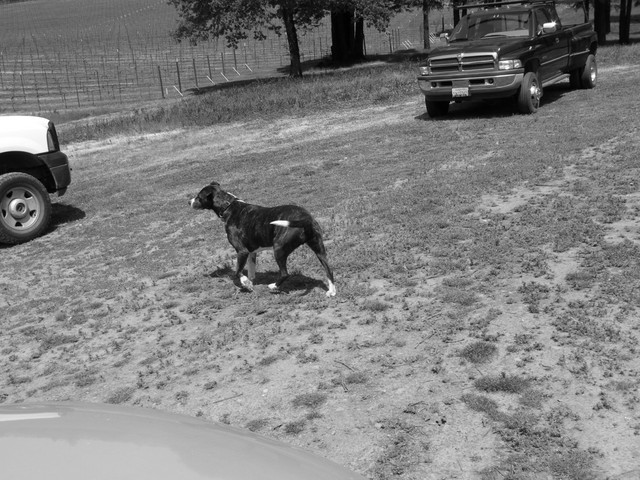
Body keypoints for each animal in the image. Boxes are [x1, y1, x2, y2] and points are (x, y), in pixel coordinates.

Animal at [190, 183, 338, 298]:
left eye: (198, 196)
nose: (188, 201)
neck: (229, 206)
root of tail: (305, 219)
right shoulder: (251, 252)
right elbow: (251, 272)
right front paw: (249, 283)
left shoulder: (242, 251)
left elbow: (237, 272)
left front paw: (245, 284)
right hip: (319, 248)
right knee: (329, 270)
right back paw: (332, 291)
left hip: (278, 249)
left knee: (285, 273)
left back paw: (273, 286)